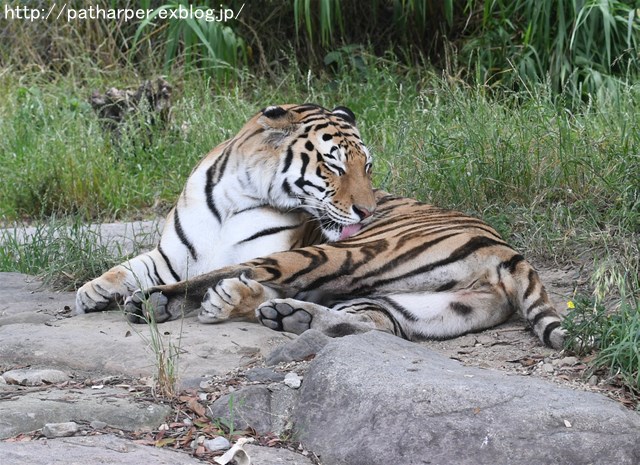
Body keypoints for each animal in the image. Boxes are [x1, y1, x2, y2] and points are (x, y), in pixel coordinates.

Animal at [75, 104, 376, 314]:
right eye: (334, 167)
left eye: (367, 166)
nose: (368, 211)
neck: (236, 198)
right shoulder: (170, 256)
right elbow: (126, 268)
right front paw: (92, 290)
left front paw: (228, 297)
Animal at [119, 110, 564, 350]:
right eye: (334, 166)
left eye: (366, 167)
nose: (366, 211)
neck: (234, 191)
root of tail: (505, 249)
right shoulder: (174, 253)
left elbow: (220, 269)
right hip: (433, 304)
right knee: (378, 324)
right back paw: (289, 316)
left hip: (344, 252)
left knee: (237, 274)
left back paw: (165, 302)